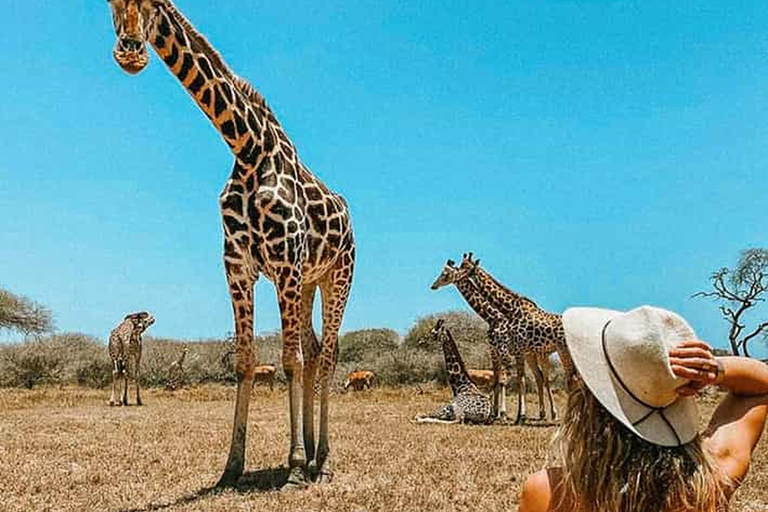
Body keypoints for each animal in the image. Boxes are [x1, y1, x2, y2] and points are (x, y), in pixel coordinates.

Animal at [103, 0, 356, 490]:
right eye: (108, 5)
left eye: (154, 6)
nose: (130, 53)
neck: (248, 148)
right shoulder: (239, 266)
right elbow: (246, 361)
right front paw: (231, 467)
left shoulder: (285, 264)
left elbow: (289, 359)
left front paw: (294, 467)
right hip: (309, 281)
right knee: (317, 351)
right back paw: (313, 452)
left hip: (338, 275)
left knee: (328, 356)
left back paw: (322, 459)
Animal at [428, 260, 548, 424]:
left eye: (445, 273)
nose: (433, 285)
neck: (493, 317)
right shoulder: (494, 350)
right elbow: (497, 380)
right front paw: (496, 414)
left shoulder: (505, 351)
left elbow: (504, 380)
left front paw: (504, 414)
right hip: (530, 354)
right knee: (540, 377)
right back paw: (543, 414)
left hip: (539, 353)